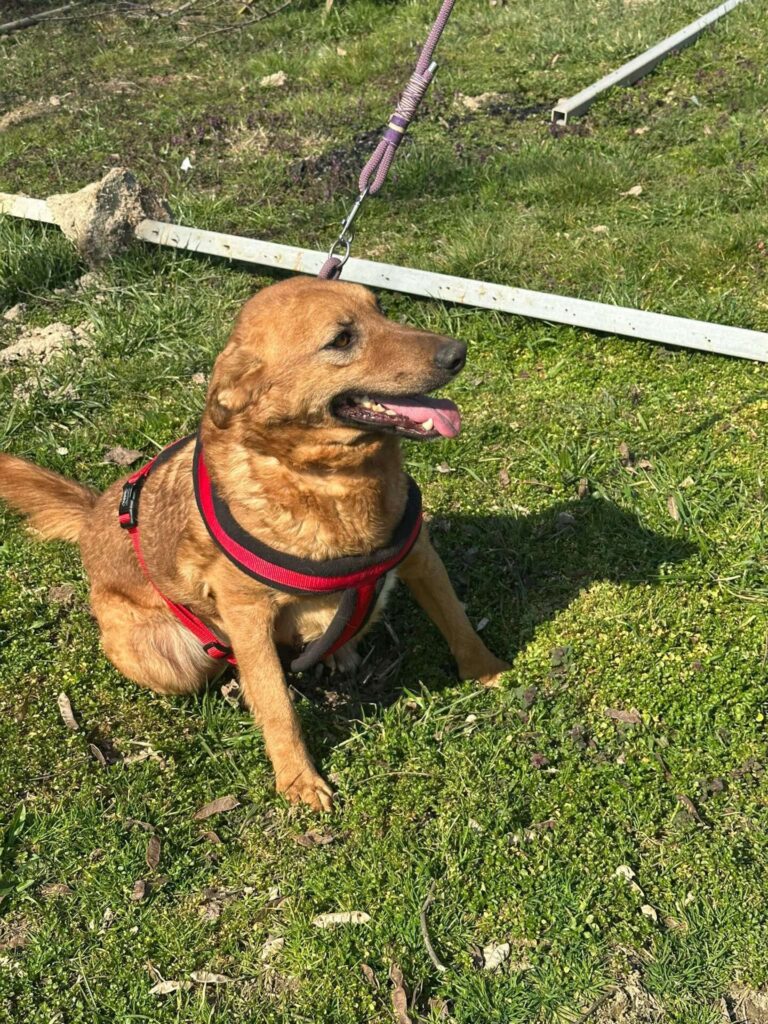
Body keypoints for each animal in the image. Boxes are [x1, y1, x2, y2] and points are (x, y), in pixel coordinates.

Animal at [0, 277, 508, 810]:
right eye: (341, 339)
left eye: (381, 308)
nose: (458, 352)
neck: (328, 482)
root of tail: (93, 512)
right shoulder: (247, 612)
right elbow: (277, 702)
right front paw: (298, 779)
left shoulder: (420, 557)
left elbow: (458, 623)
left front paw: (489, 671)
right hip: (174, 660)